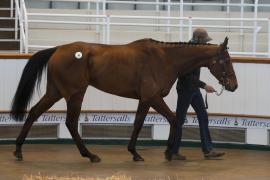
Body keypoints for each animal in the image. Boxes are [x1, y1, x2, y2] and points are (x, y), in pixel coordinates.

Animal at [11, 37, 237, 162]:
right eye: (226, 60)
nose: (234, 85)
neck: (165, 59)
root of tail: (58, 49)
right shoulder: (151, 98)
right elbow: (168, 120)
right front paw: (164, 152)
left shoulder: (146, 100)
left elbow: (143, 122)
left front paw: (139, 152)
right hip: (75, 94)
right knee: (71, 123)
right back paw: (90, 155)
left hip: (55, 92)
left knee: (34, 113)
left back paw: (18, 150)